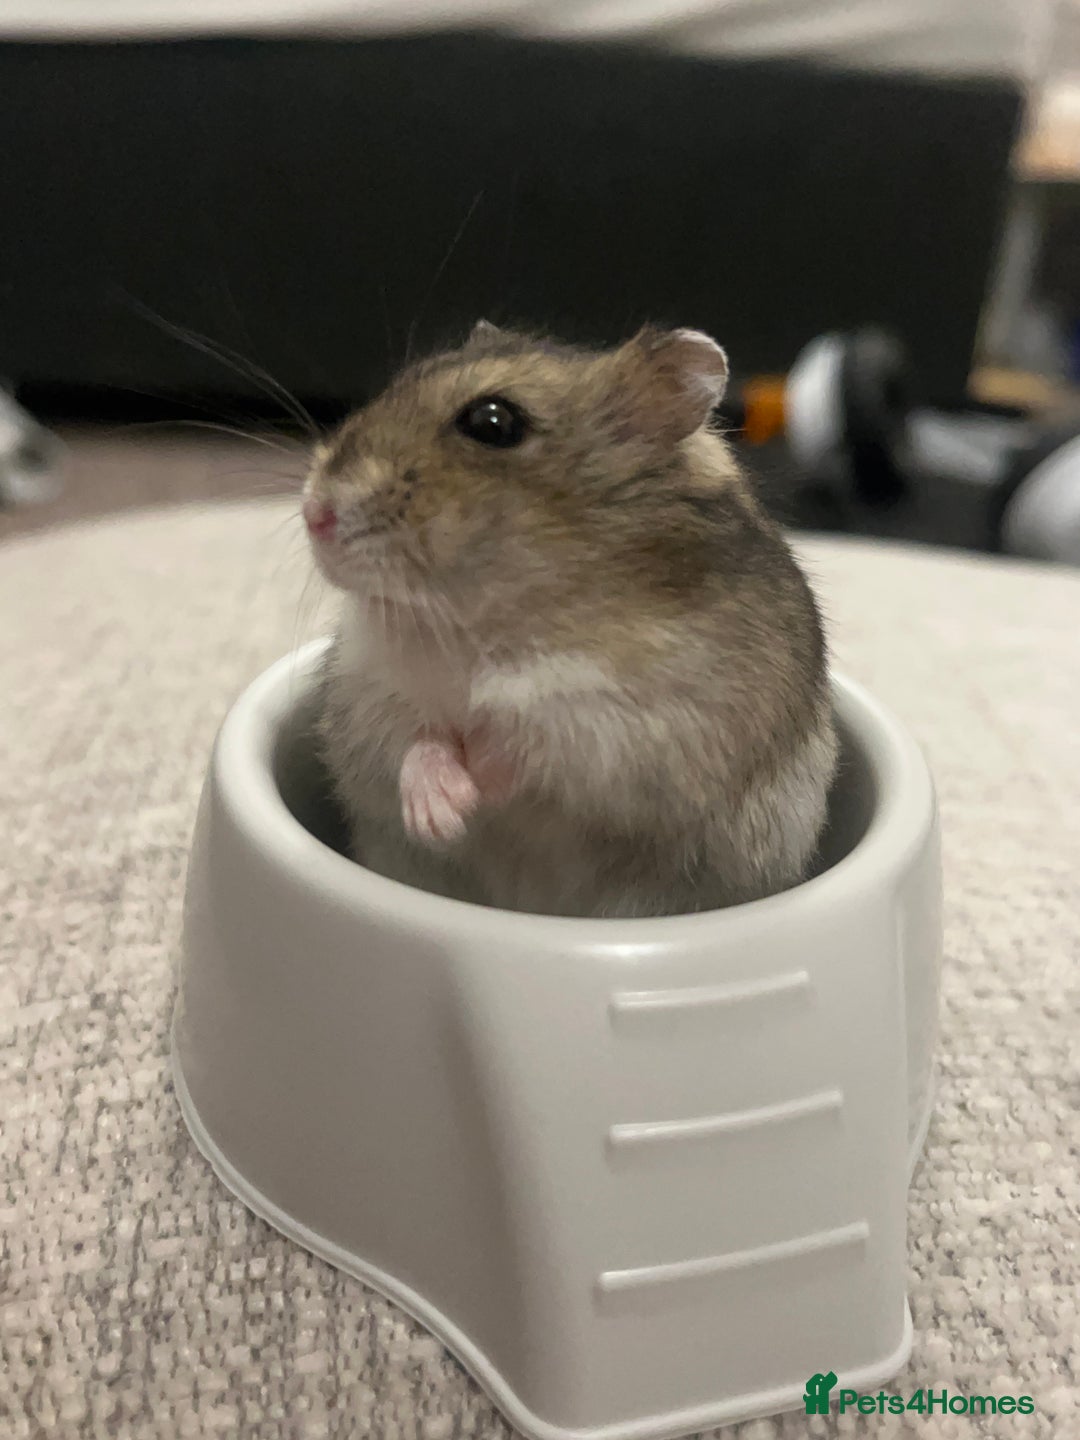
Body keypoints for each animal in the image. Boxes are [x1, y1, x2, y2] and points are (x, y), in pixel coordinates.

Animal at [303, 321, 837, 918]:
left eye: (492, 423)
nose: (313, 513)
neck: (487, 623)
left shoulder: (636, 726)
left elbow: (532, 739)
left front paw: (473, 782)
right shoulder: (368, 695)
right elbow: (414, 744)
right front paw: (440, 817)